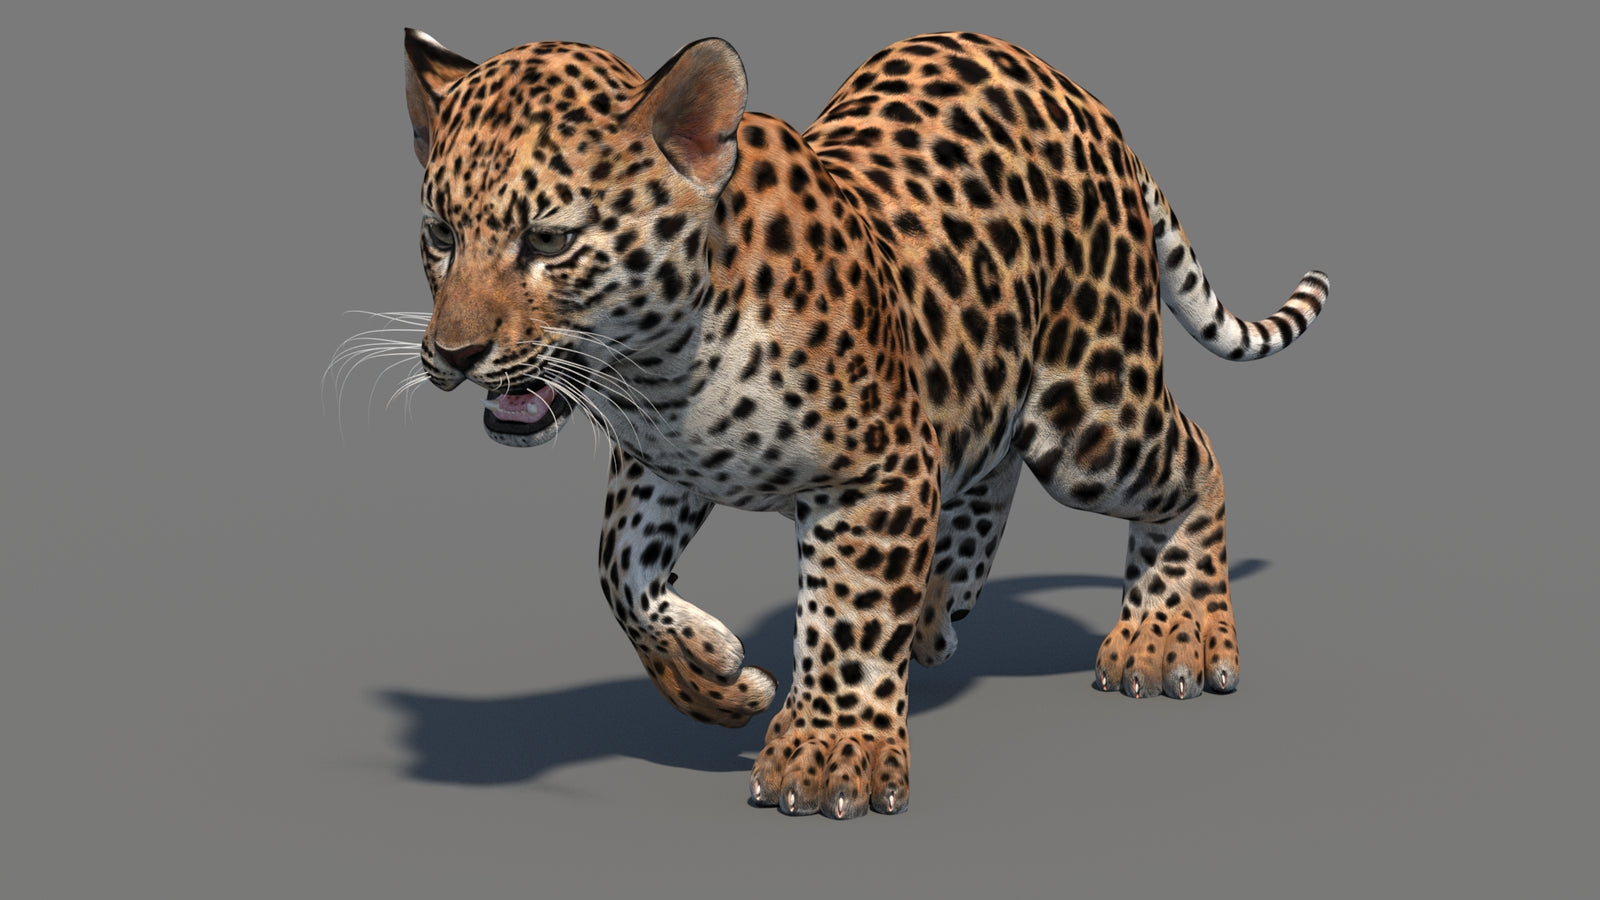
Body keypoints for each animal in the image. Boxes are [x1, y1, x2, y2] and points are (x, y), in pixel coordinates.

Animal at [396, 27, 1329, 818]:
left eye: (549, 240)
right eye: (440, 234)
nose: (453, 353)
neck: (660, 371)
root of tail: (1089, 103)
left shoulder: (875, 471)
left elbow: (846, 613)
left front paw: (826, 755)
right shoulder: (662, 464)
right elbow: (616, 570)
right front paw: (714, 681)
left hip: (1091, 412)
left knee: (1195, 458)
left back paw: (1172, 636)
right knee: (988, 472)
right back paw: (935, 609)